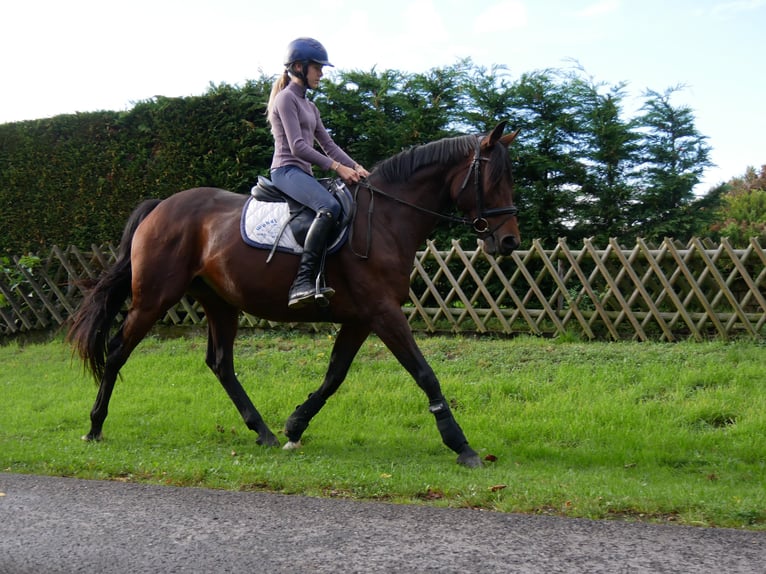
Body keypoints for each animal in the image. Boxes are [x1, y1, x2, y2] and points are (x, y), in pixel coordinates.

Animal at [67, 121, 520, 468]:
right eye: (495, 179)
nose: (510, 242)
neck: (386, 219)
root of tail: (161, 206)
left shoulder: (361, 319)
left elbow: (334, 376)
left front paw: (294, 426)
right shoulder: (384, 313)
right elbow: (424, 373)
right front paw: (461, 445)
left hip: (220, 303)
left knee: (220, 363)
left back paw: (263, 431)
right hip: (154, 299)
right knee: (117, 350)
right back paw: (94, 425)